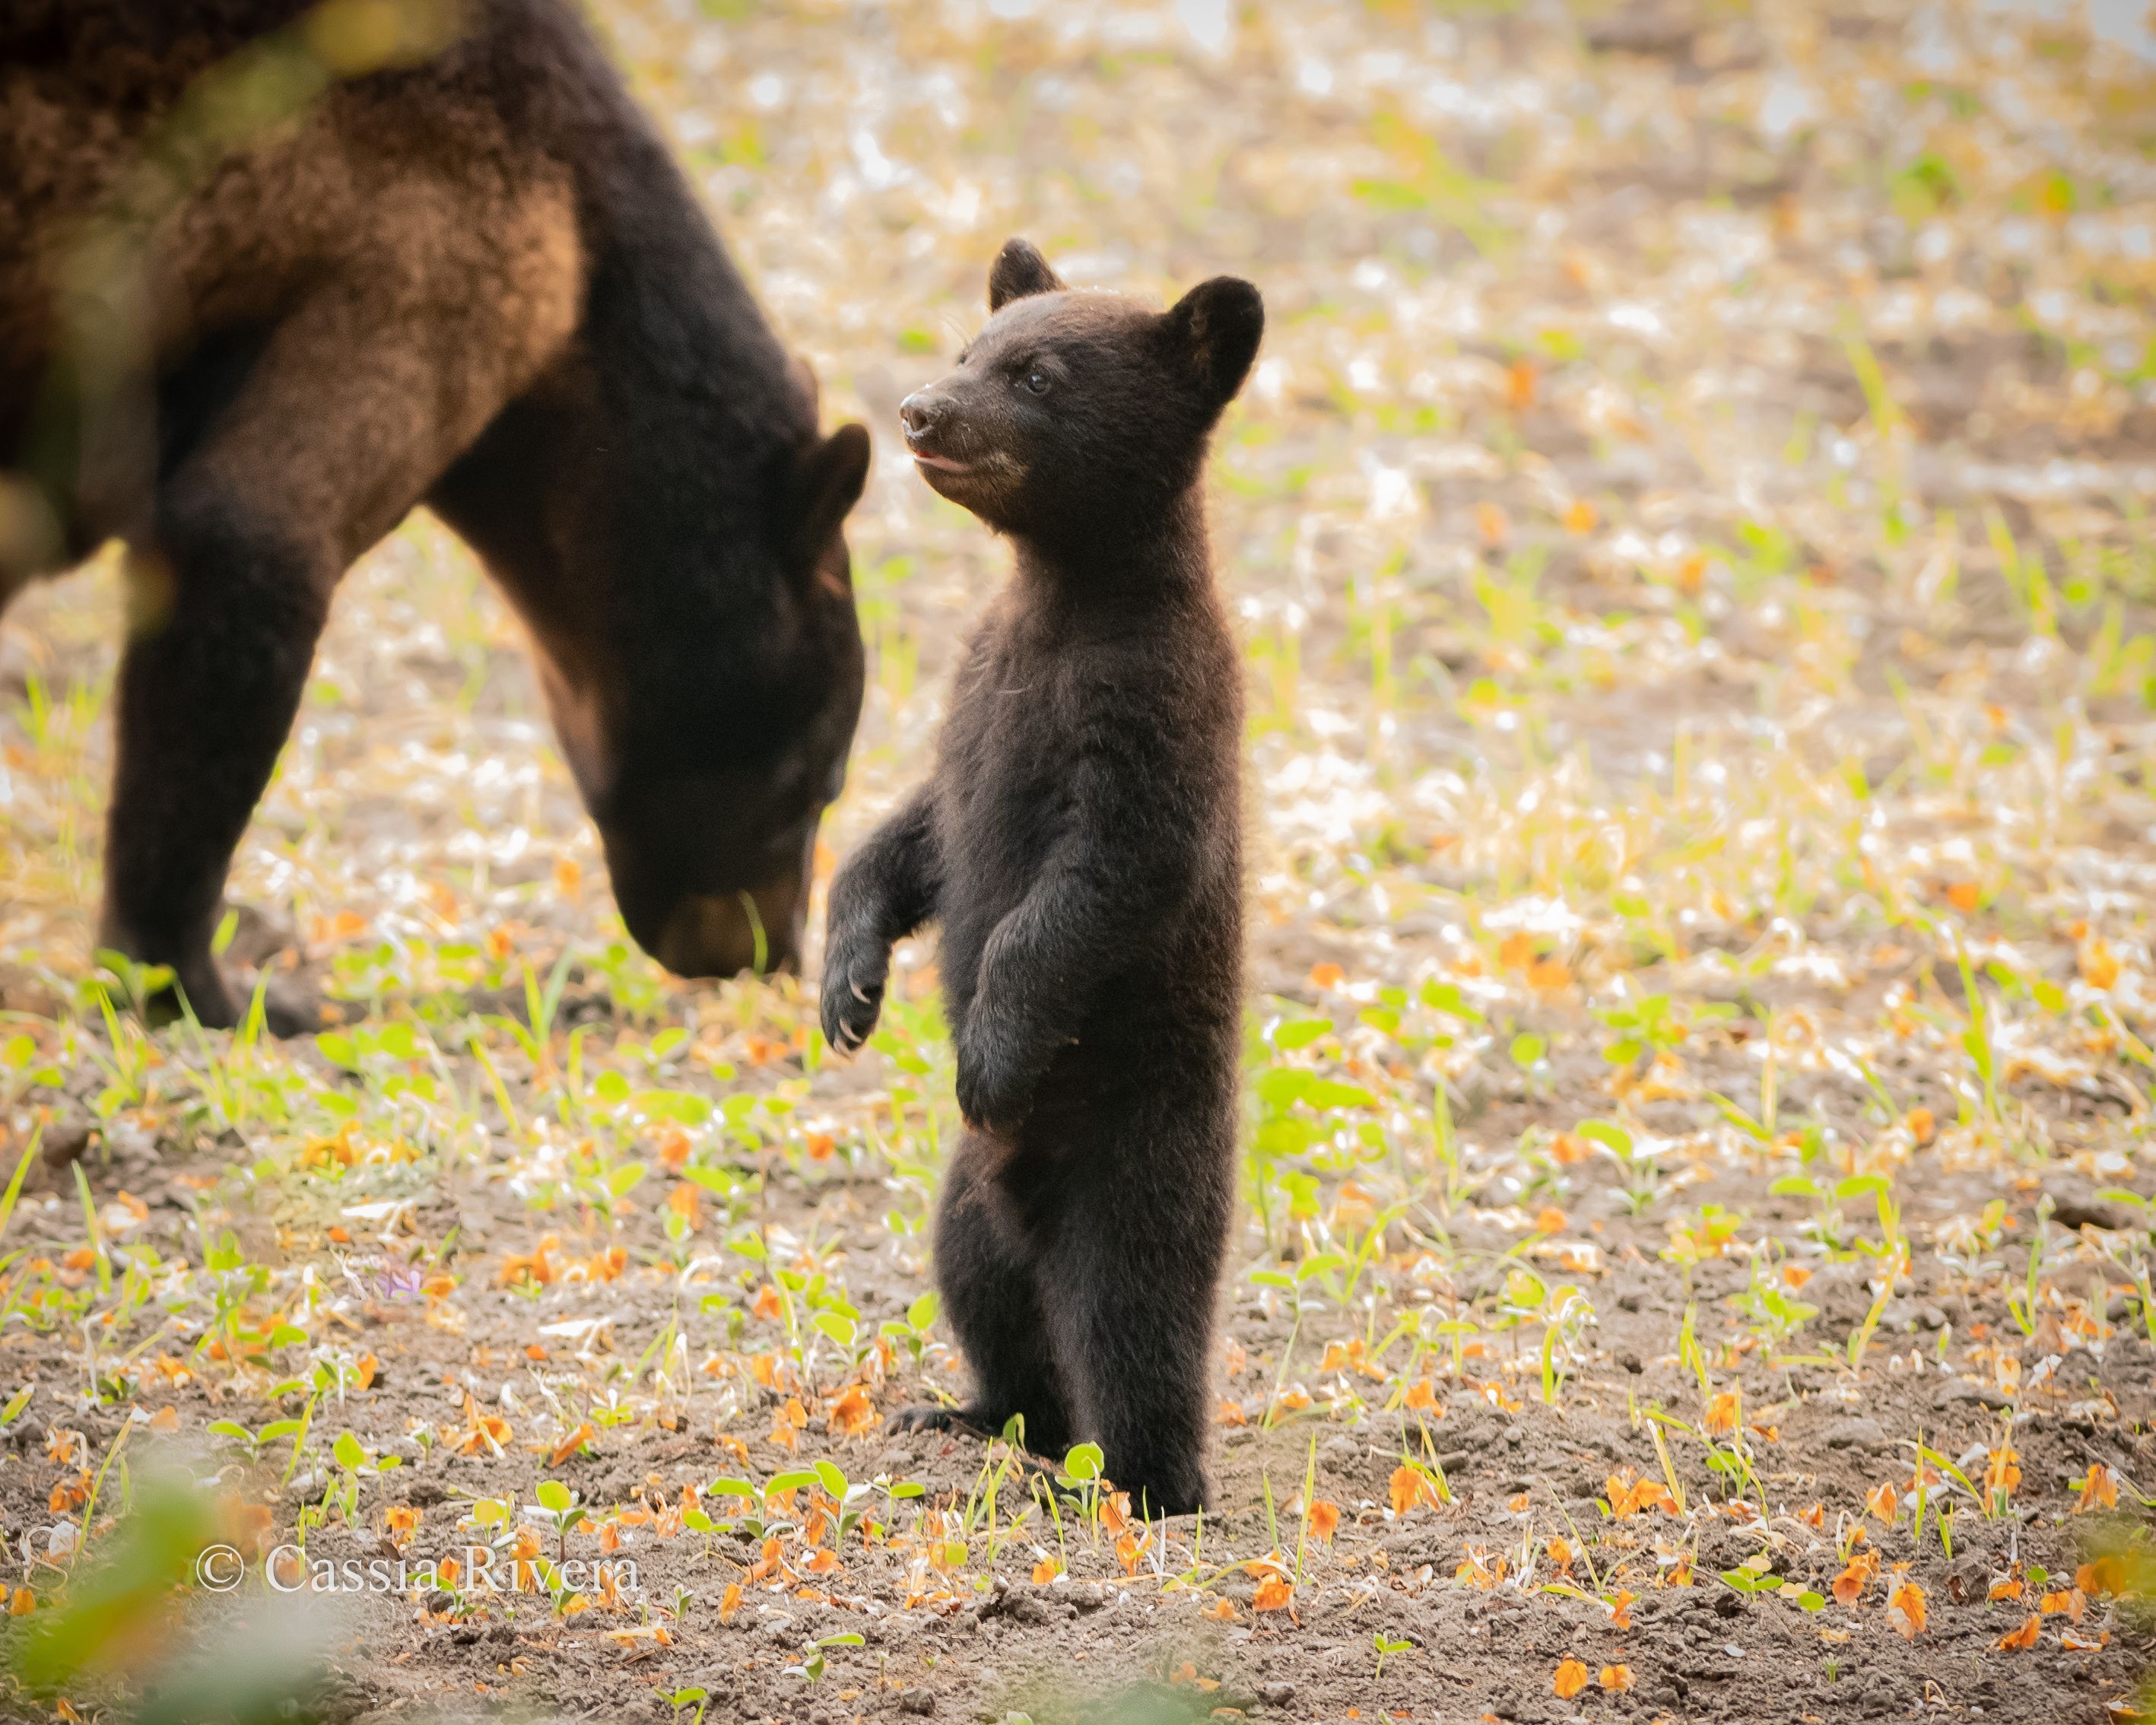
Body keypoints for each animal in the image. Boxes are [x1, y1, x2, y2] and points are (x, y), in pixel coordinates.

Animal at [820, 238, 1261, 1516]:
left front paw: (989, 1054)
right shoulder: (975, 698)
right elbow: (918, 834)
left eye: (1037, 375)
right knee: (995, 1306)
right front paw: (846, 984)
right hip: (964, 1205)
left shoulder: (1151, 716)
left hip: (1134, 1159)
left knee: (1132, 1327)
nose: (920, 409)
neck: (1056, 608)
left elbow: (1094, 883)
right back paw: (974, 1418)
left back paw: (1139, 1487)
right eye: (971, 347)